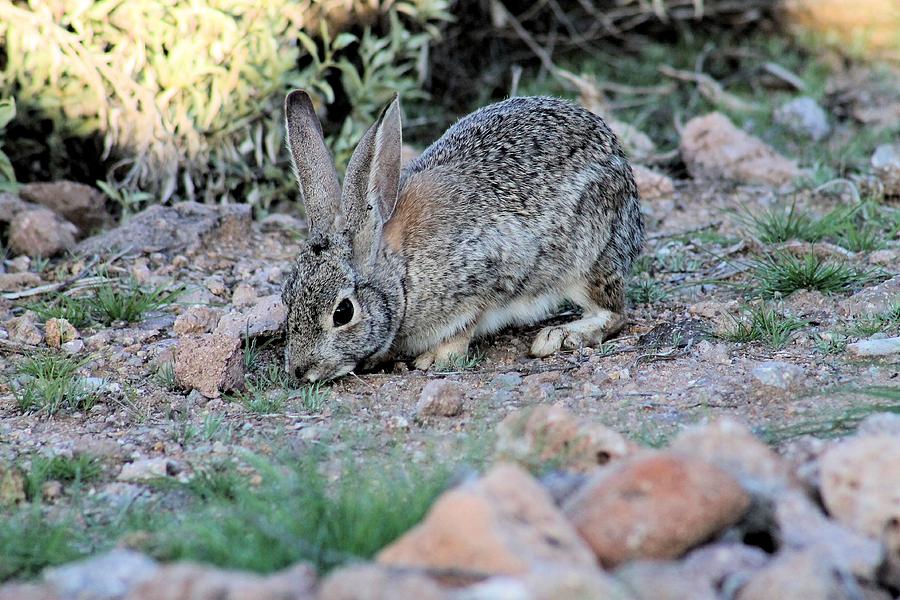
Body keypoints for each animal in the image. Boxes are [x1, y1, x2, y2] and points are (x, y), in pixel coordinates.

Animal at [281, 90, 643, 382]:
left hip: (586, 259)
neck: (402, 275)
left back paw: (559, 336)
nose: (299, 371)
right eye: (287, 299)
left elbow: (466, 326)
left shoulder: (487, 274)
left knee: (614, 313)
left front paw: (435, 358)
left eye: (343, 313)